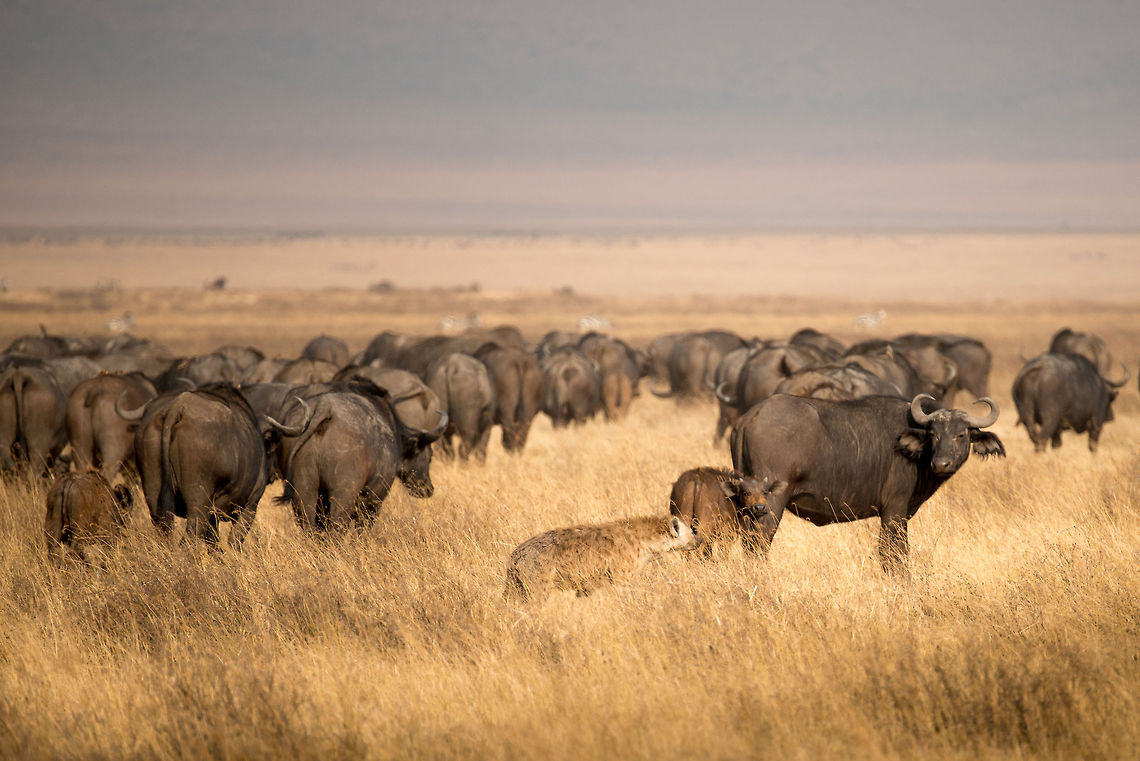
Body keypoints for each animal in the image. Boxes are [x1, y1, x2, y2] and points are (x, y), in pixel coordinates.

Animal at [504, 515, 700, 603]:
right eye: (691, 532)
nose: (700, 539)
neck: (645, 543)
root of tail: (515, 555)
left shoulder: (587, 587)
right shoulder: (622, 575)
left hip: (516, 585)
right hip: (539, 582)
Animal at [731, 393, 1004, 571]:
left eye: (961, 434)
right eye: (934, 434)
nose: (941, 463)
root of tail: (751, 416)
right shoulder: (894, 512)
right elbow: (894, 554)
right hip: (769, 506)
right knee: (758, 543)